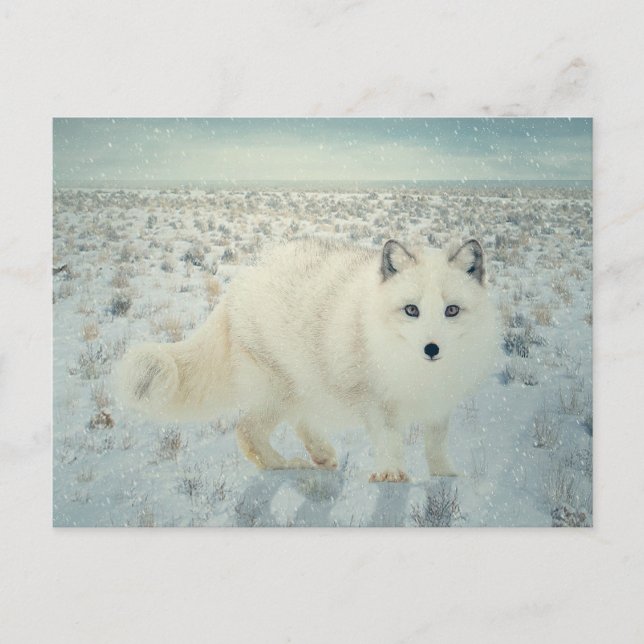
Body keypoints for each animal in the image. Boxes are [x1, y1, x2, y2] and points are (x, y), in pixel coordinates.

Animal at [117, 237, 498, 482]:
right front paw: (391, 473)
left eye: (452, 310)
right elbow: (389, 439)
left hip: (302, 384)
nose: (431, 348)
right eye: (411, 310)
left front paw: (445, 474)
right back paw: (286, 465)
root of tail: (240, 282)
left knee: (297, 421)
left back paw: (322, 454)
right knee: (247, 431)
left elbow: (436, 443)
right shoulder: (374, 398)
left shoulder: (440, 403)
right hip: (277, 389)